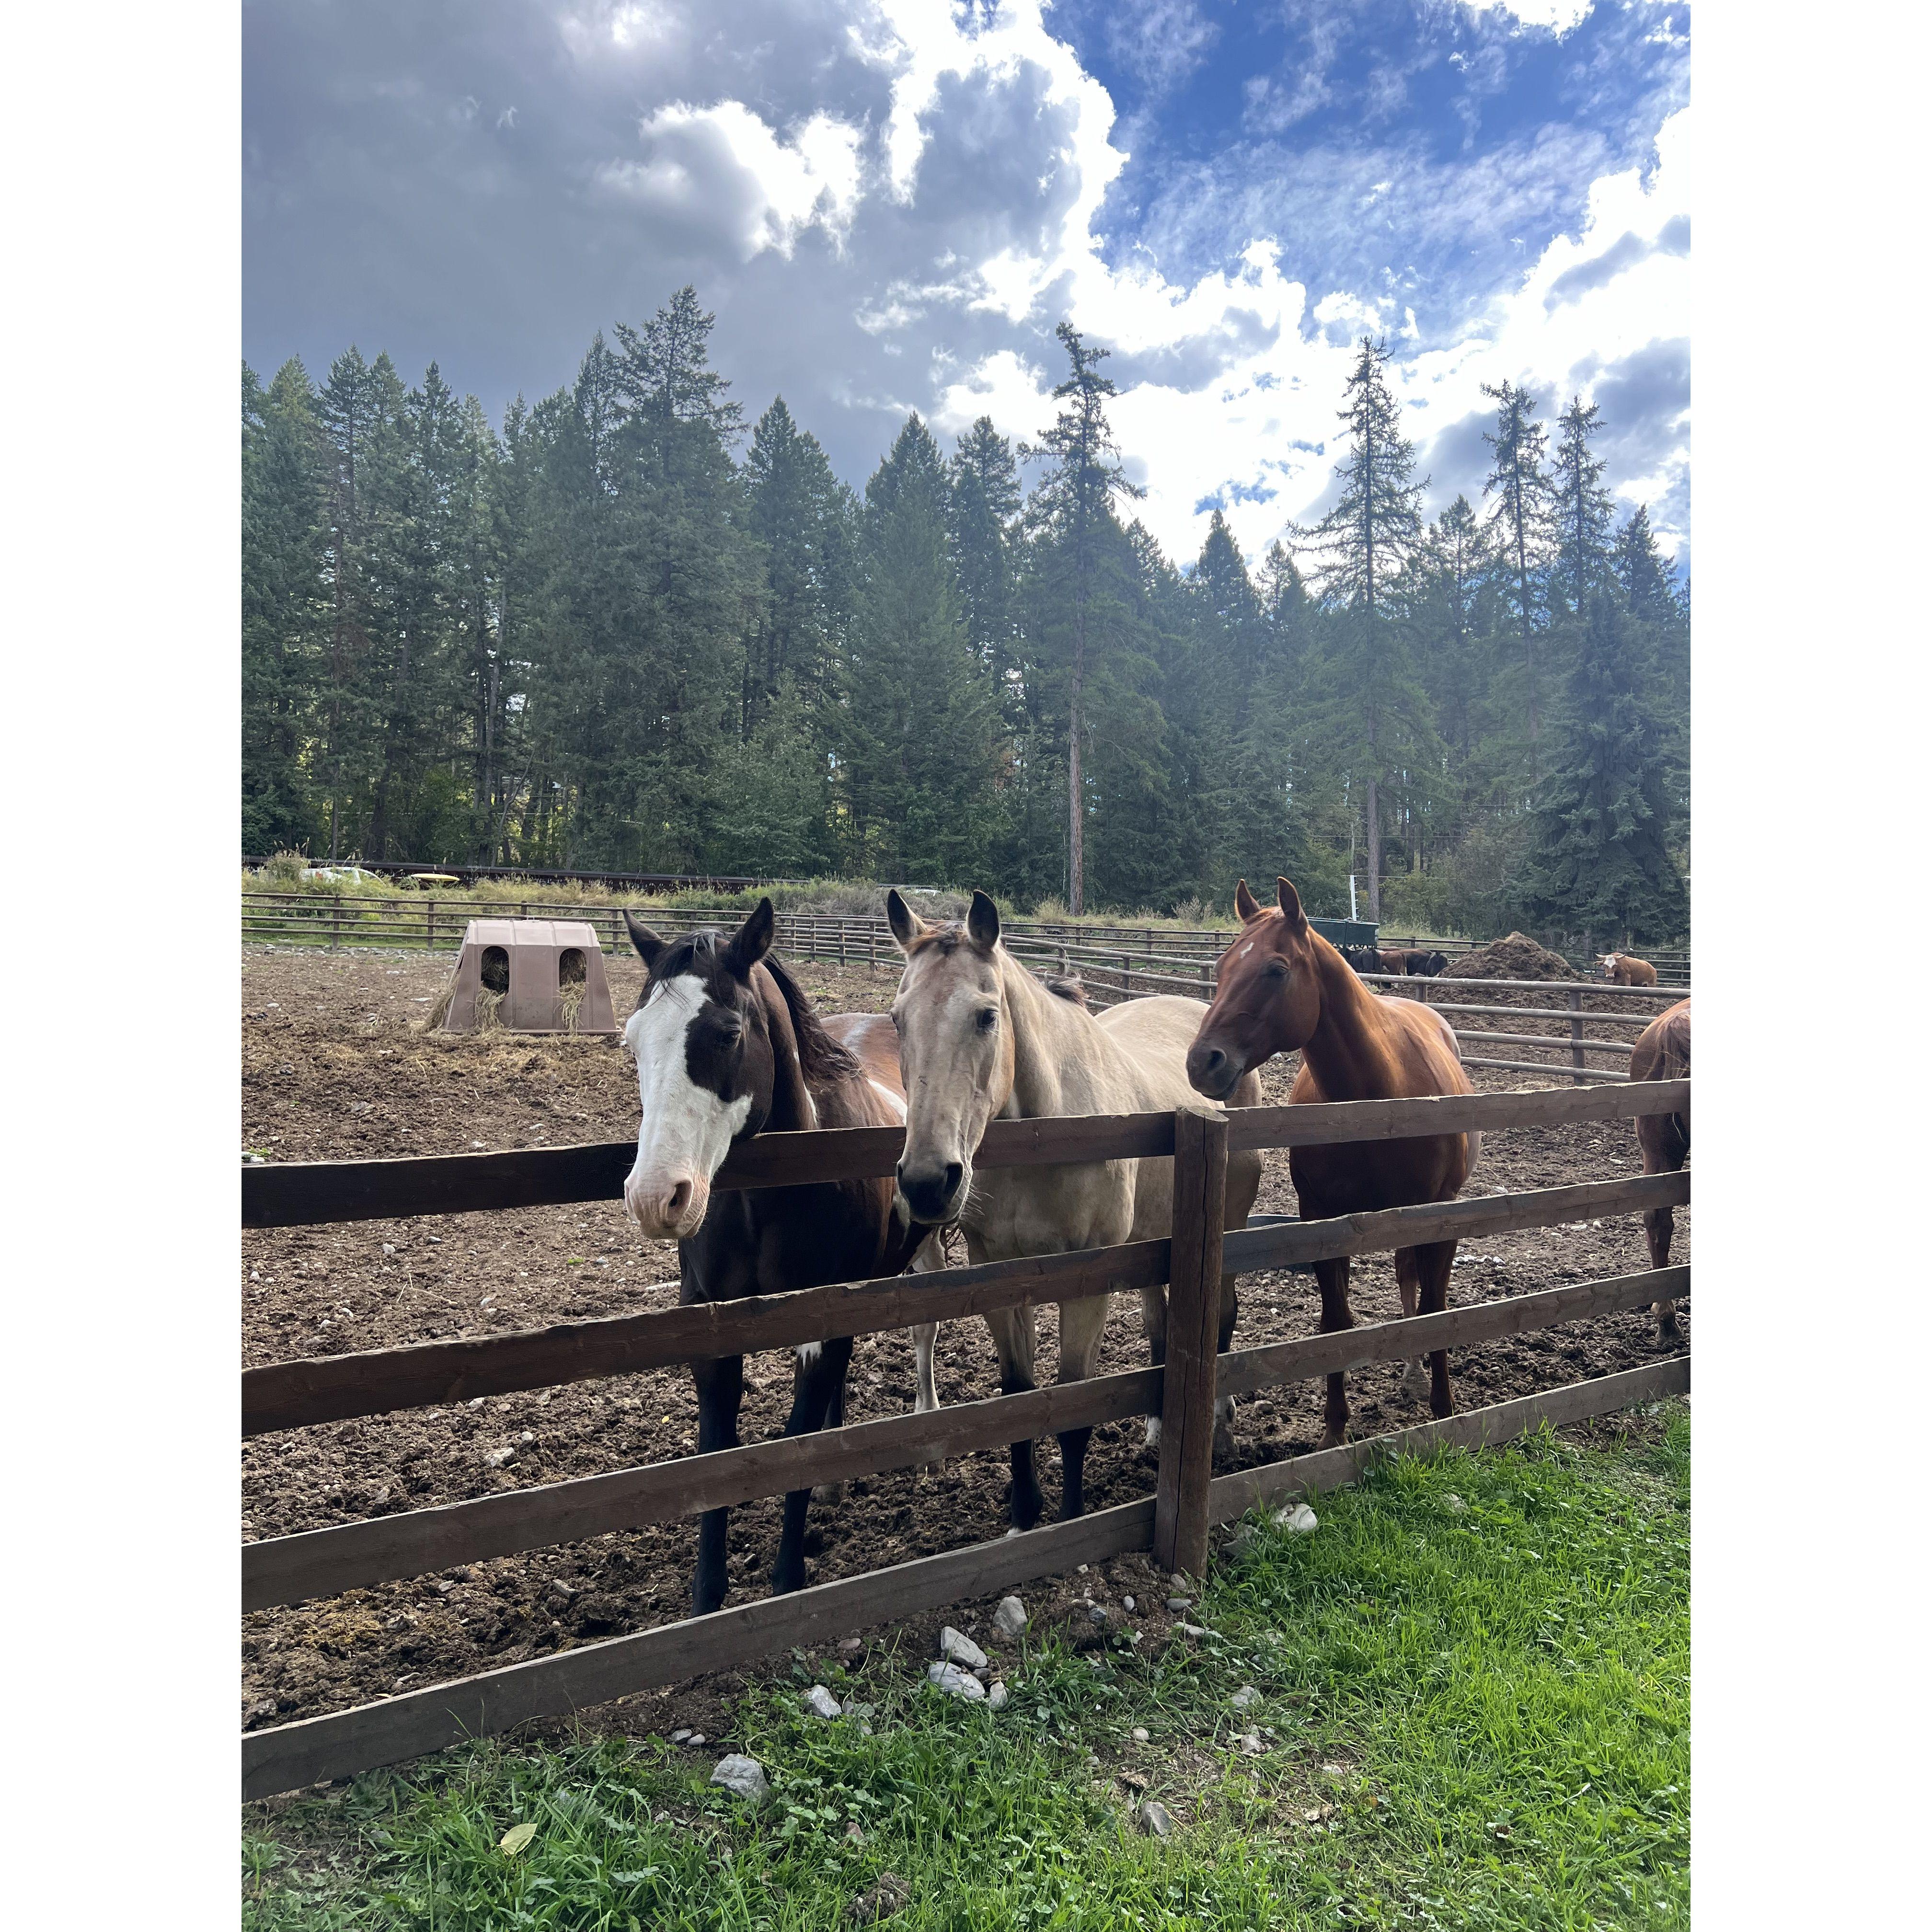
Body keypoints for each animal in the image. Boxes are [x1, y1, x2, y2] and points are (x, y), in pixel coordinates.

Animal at [621, 899, 939, 1615]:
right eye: (632, 1040)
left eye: (728, 1033)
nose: (656, 1197)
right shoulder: (712, 1322)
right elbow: (717, 1448)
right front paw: (705, 1598)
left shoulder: (822, 1318)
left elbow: (797, 1446)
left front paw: (787, 1581)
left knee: (924, 1333)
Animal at [885, 889, 1264, 1532]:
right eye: (896, 1019)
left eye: (987, 1016)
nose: (928, 1182)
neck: (1050, 1132)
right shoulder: (1000, 1274)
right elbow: (1019, 1396)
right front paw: (1023, 1514)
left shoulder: (1088, 1282)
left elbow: (1073, 1403)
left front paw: (1069, 1516)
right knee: (1160, 1320)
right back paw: (1157, 1430)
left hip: (1229, 1229)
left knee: (1222, 1316)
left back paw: (1221, 1428)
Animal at [1184, 876, 1480, 1447]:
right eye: (1222, 965)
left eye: (1276, 970)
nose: (1202, 1062)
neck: (1377, 1097)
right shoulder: (1320, 1219)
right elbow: (1336, 1322)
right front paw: (1335, 1430)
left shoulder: (1439, 1213)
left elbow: (1435, 1309)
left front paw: (1444, 1408)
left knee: (1415, 1283)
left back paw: (1417, 1376)